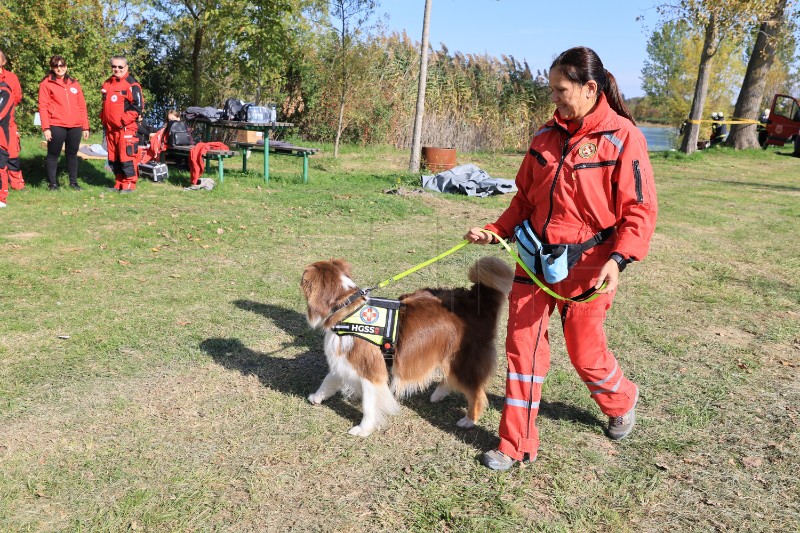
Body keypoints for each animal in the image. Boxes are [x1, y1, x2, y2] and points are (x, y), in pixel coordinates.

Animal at [298, 256, 512, 434]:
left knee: (477, 393)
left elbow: (369, 404)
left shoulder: (371, 370)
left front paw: (363, 429)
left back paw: (469, 419)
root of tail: (476, 299)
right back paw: (439, 394)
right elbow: (329, 379)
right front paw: (316, 397)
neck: (347, 309)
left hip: (463, 360)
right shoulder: (346, 359)